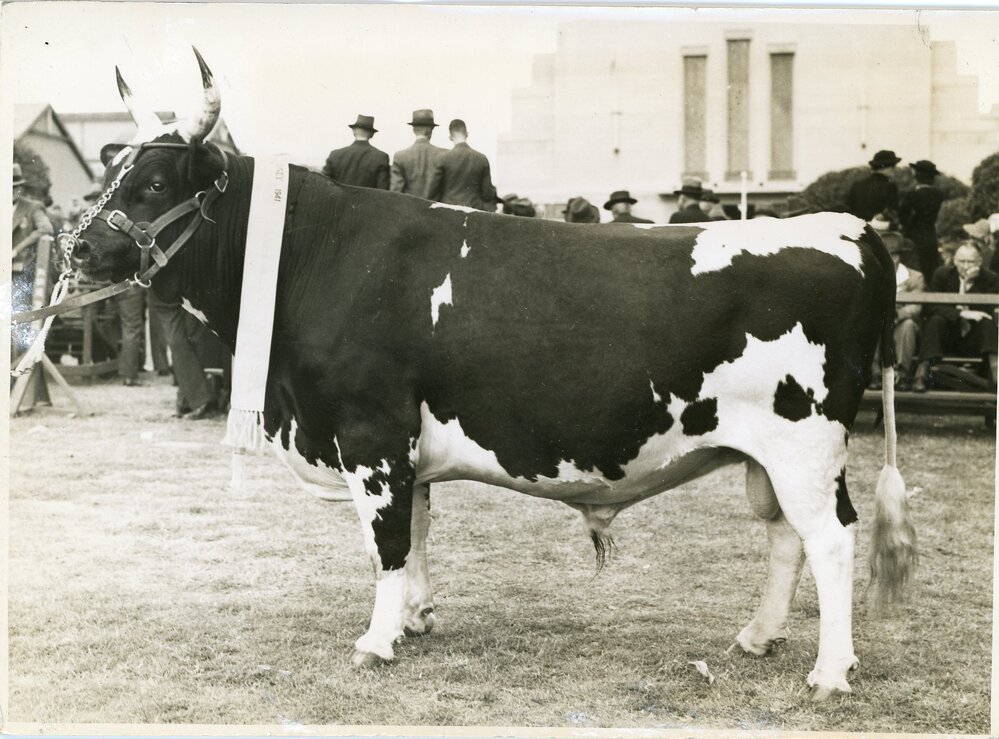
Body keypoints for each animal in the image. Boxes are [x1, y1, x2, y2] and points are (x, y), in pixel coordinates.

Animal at [69, 50, 916, 700]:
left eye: (154, 183)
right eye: (111, 169)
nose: (78, 247)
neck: (318, 254)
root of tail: (845, 227)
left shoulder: (371, 431)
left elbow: (385, 539)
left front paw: (375, 640)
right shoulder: (404, 446)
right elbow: (416, 532)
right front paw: (414, 620)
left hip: (803, 439)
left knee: (829, 538)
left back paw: (829, 672)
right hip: (764, 452)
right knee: (782, 536)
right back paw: (756, 636)